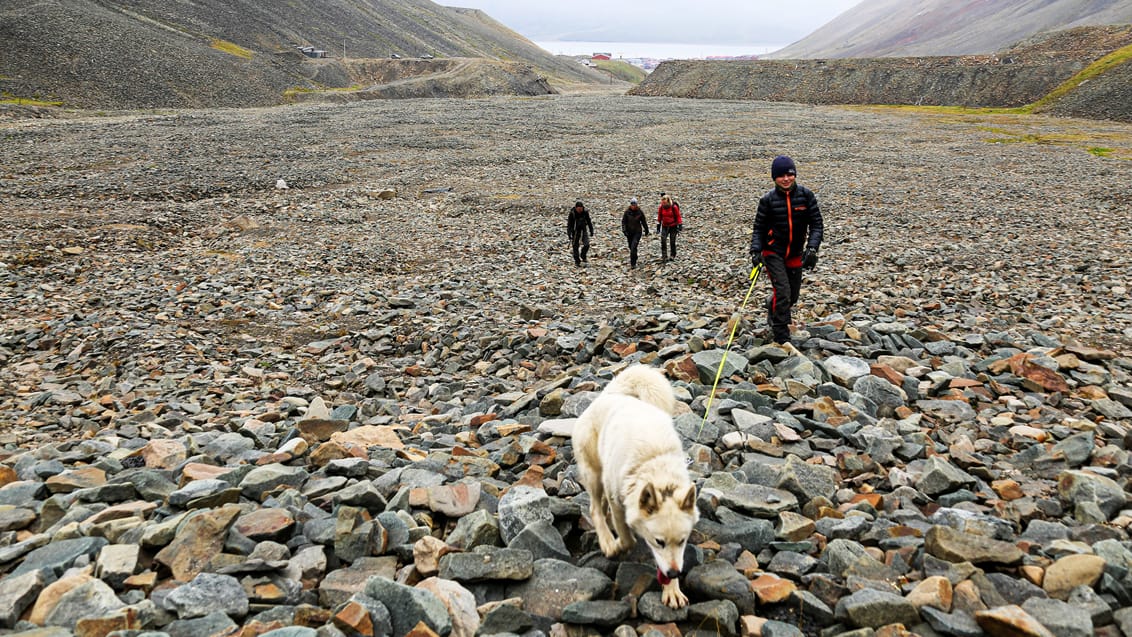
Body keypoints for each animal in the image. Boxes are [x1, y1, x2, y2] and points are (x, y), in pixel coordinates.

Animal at [575, 364, 697, 606]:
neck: (654, 466)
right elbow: (627, 538)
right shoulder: (618, 500)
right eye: (659, 542)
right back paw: (607, 540)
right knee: (595, 508)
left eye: (682, 541)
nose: (674, 574)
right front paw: (618, 545)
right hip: (594, 474)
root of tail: (610, 395)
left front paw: (673, 591)